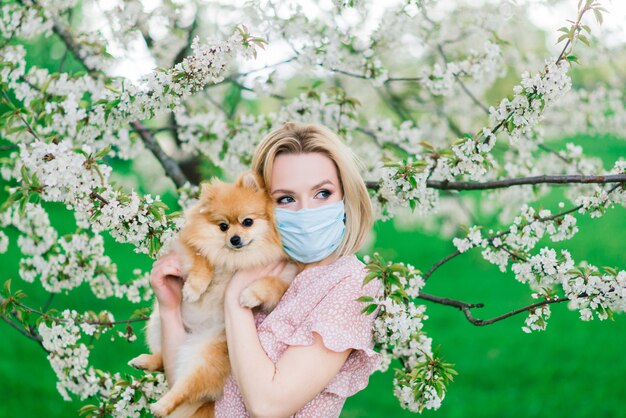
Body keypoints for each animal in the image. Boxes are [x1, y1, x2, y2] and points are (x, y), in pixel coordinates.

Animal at [128, 171, 298, 418]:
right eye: (223, 226)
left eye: (248, 222)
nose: (235, 239)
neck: (236, 260)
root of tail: (192, 335)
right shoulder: (188, 246)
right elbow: (202, 260)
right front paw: (194, 288)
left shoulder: (286, 275)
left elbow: (271, 285)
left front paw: (249, 295)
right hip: (158, 322)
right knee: (164, 360)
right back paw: (146, 363)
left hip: (207, 356)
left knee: (184, 387)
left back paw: (161, 405)